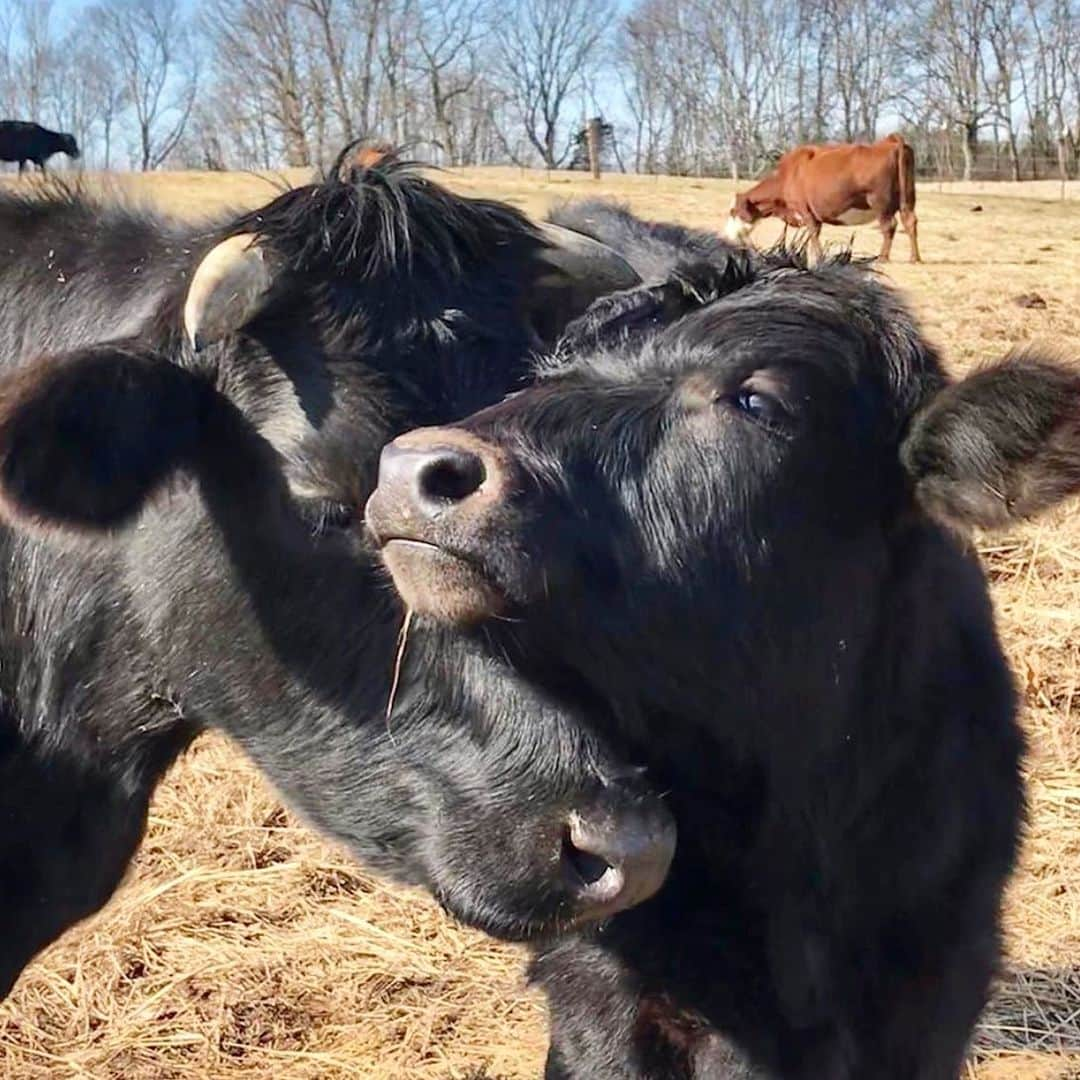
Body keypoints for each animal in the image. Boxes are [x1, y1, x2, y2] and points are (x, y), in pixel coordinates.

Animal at [721, 133, 924, 262]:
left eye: (732, 211)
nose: (725, 236)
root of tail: (891, 141)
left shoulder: (805, 210)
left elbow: (813, 233)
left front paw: (817, 258)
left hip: (880, 203)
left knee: (889, 227)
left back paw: (882, 257)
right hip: (908, 199)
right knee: (910, 222)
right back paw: (914, 257)